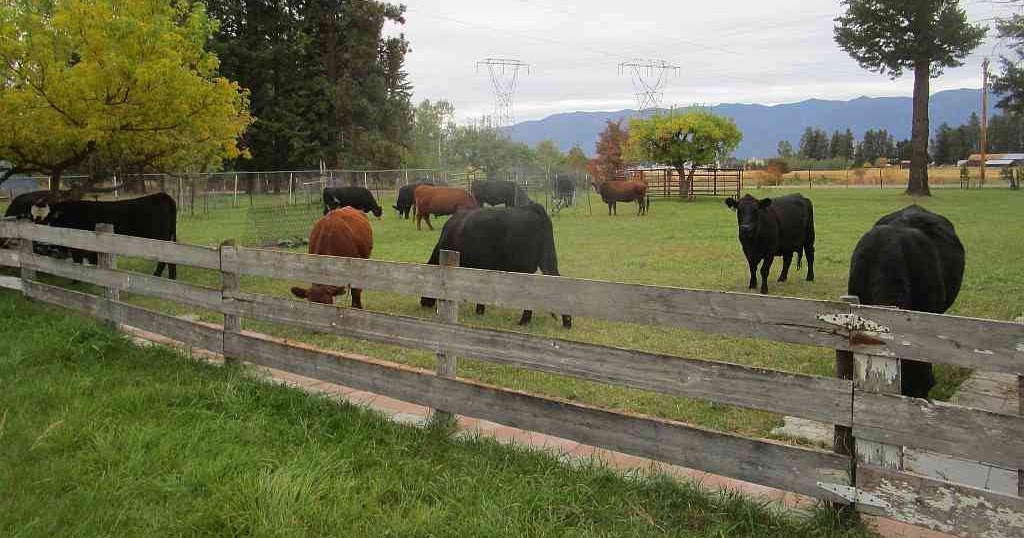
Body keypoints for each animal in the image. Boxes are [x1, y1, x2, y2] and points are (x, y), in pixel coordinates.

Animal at [33, 192, 178, 279]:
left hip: (160, 240)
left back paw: (156, 276)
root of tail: (162, 195)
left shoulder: (79, 246)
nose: (38, 243)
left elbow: (78, 260)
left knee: (163, 260)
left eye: (47, 219)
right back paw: (171, 278)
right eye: (34, 218)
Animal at [420, 202, 572, 328]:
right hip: (548, 260)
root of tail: (532, 207)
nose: (423, 303)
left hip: (527, 268)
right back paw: (567, 322)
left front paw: (479, 311)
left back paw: (524, 321)